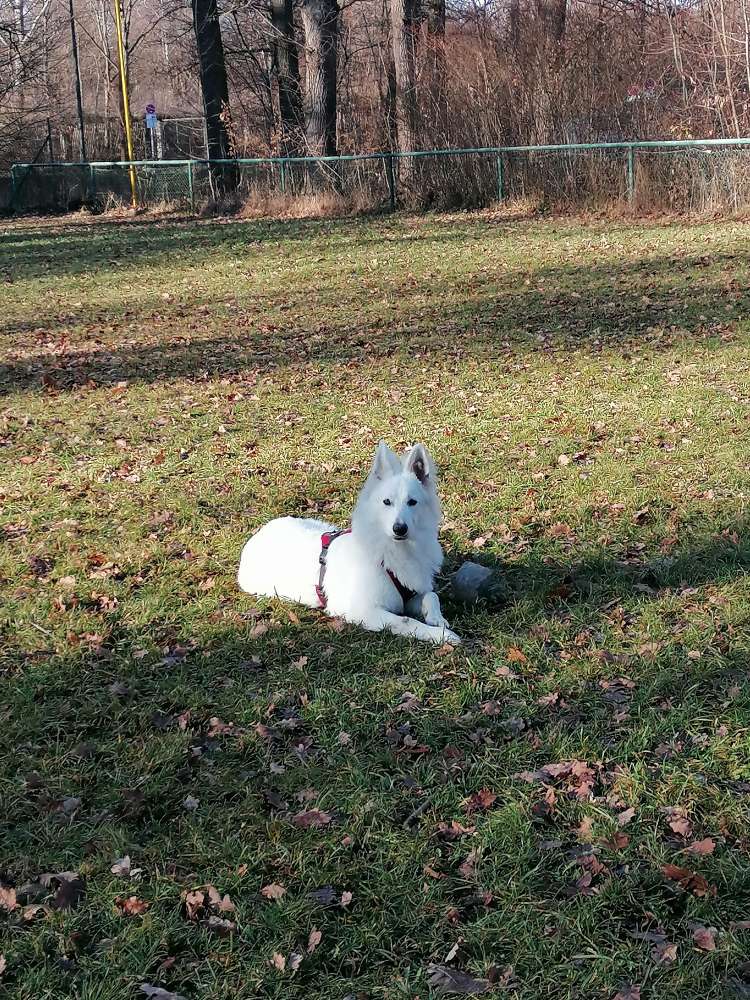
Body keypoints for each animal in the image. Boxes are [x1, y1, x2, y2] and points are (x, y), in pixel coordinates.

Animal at [241, 444, 462, 644]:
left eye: (412, 502)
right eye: (387, 502)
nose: (399, 528)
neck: (391, 553)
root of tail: (261, 531)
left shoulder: (410, 594)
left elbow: (431, 596)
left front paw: (437, 619)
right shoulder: (363, 611)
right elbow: (406, 621)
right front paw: (440, 635)